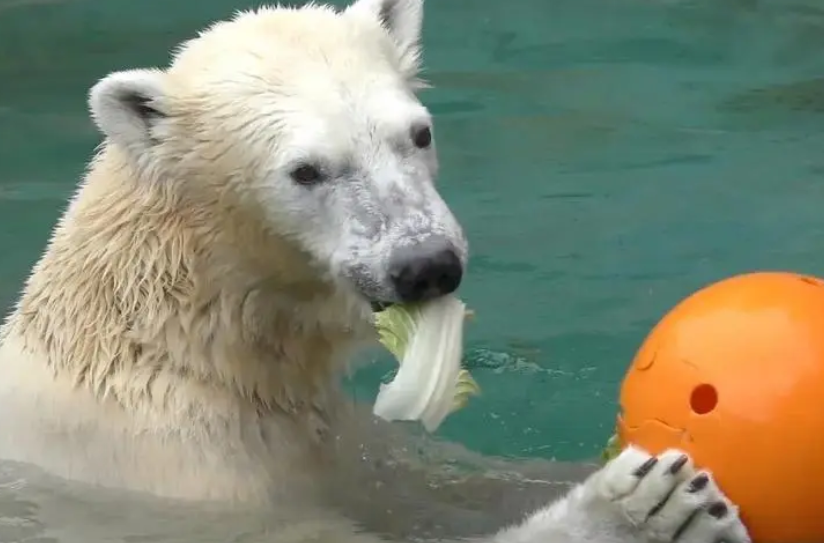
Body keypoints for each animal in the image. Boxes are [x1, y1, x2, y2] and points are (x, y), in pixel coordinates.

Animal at [0, 0, 752, 542]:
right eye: (306, 171)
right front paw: (645, 505)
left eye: (418, 132)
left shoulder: (331, 438)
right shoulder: (182, 472)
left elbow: (441, 483)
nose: (427, 264)